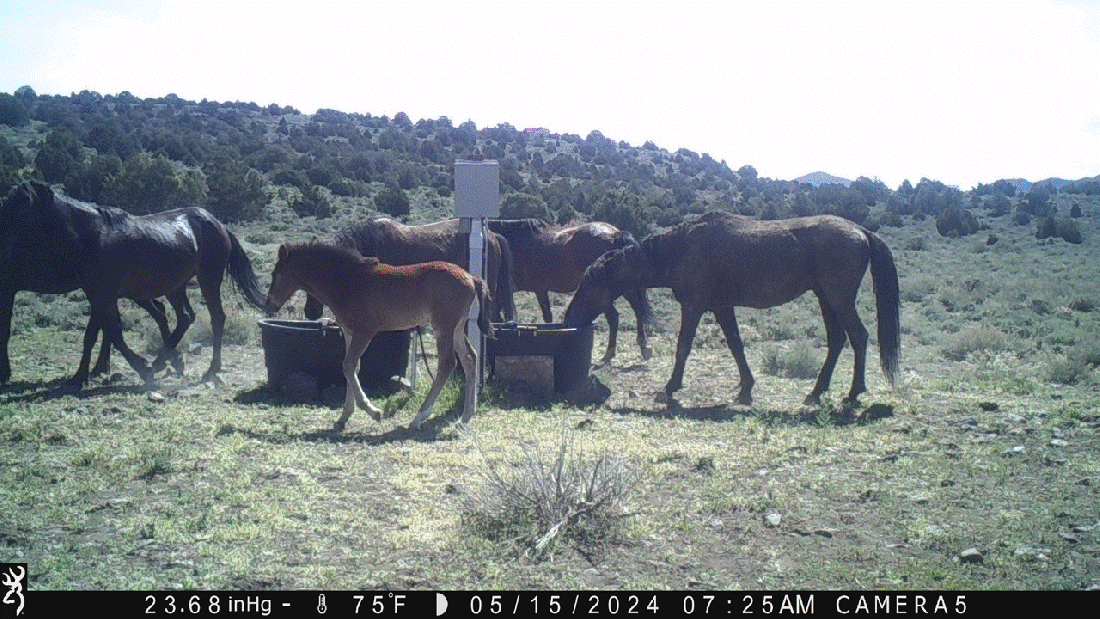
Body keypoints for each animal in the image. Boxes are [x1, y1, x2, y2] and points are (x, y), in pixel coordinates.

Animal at [0, 180, 267, 387]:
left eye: (21, 205)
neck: (91, 237)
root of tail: (218, 223)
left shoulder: (102, 294)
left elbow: (110, 334)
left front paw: (139, 367)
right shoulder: (97, 295)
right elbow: (100, 334)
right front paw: (82, 375)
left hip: (208, 279)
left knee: (216, 317)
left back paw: (209, 368)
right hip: (174, 287)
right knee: (184, 317)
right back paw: (164, 361)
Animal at [266, 241, 494, 431]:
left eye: (275, 274)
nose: (270, 304)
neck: (346, 281)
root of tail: (471, 277)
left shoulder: (365, 330)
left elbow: (348, 365)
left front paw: (373, 411)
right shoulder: (349, 332)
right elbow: (352, 368)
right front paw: (343, 418)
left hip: (443, 327)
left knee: (447, 364)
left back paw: (419, 417)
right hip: (456, 328)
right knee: (470, 359)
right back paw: (465, 417)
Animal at [487, 218, 655, 364]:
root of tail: (614, 234)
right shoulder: (539, 290)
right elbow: (548, 317)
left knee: (615, 317)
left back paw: (610, 353)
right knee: (637, 310)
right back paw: (643, 347)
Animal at [564, 211, 900, 406]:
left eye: (590, 283)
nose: (570, 317)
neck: (682, 248)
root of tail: (860, 231)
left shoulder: (694, 306)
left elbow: (683, 347)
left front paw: (670, 387)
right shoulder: (722, 307)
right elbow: (737, 346)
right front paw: (746, 389)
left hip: (838, 298)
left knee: (858, 336)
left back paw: (854, 392)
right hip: (826, 298)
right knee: (837, 341)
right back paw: (817, 392)